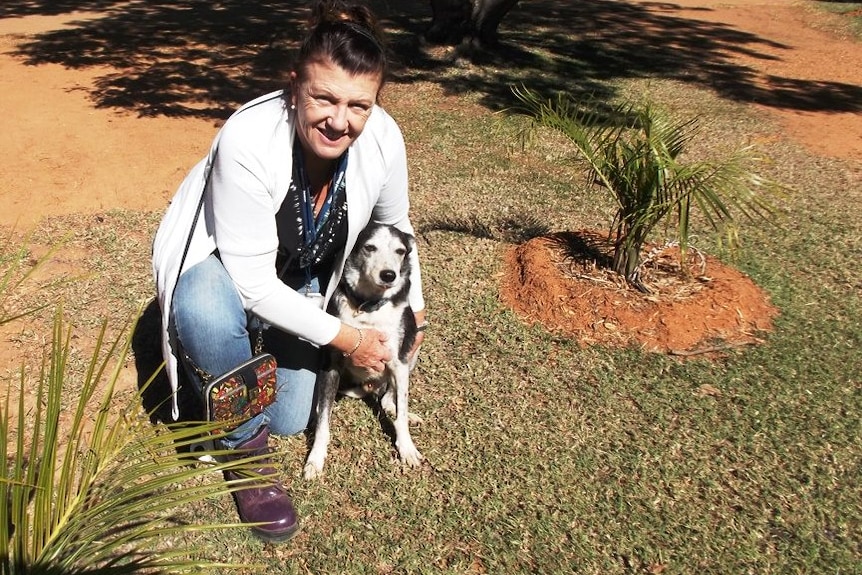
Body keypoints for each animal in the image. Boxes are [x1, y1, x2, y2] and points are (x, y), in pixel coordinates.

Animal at [304, 223, 426, 480]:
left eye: (401, 251)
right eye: (370, 247)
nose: (389, 275)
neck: (367, 307)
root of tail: (369, 387)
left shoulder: (398, 361)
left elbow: (401, 412)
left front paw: (407, 448)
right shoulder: (331, 365)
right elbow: (323, 424)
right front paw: (315, 460)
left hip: (412, 351)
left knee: (390, 400)